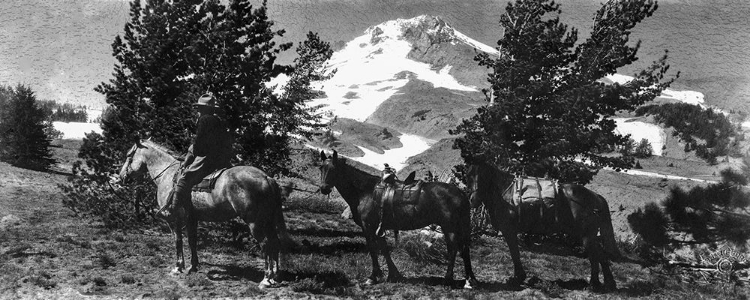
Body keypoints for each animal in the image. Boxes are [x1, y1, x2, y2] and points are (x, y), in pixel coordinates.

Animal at [120, 139, 288, 288]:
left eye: (129, 155)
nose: (122, 176)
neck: (167, 174)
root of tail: (267, 178)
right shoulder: (192, 219)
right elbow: (192, 241)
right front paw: (192, 267)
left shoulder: (173, 219)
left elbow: (178, 241)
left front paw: (178, 267)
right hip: (268, 221)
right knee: (275, 243)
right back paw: (275, 275)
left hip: (254, 222)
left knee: (265, 245)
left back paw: (266, 279)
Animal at [320, 150, 478, 288]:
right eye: (321, 167)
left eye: (333, 169)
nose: (324, 188)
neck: (366, 192)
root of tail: (461, 193)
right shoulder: (379, 227)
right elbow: (384, 249)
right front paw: (393, 275)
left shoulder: (368, 226)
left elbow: (373, 249)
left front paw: (373, 277)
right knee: (464, 249)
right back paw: (469, 281)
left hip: (449, 227)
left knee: (453, 249)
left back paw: (448, 279)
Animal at [468, 163, 620, 292]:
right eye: (469, 175)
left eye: (485, 176)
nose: (473, 200)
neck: (506, 194)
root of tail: (596, 197)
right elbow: (514, 253)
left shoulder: (509, 231)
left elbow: (514, 253)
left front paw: (518, 278)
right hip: (586, 236)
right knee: (598, 255)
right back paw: (604, 283)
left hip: (586, 236)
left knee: (595, 255)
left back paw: (596, 284)